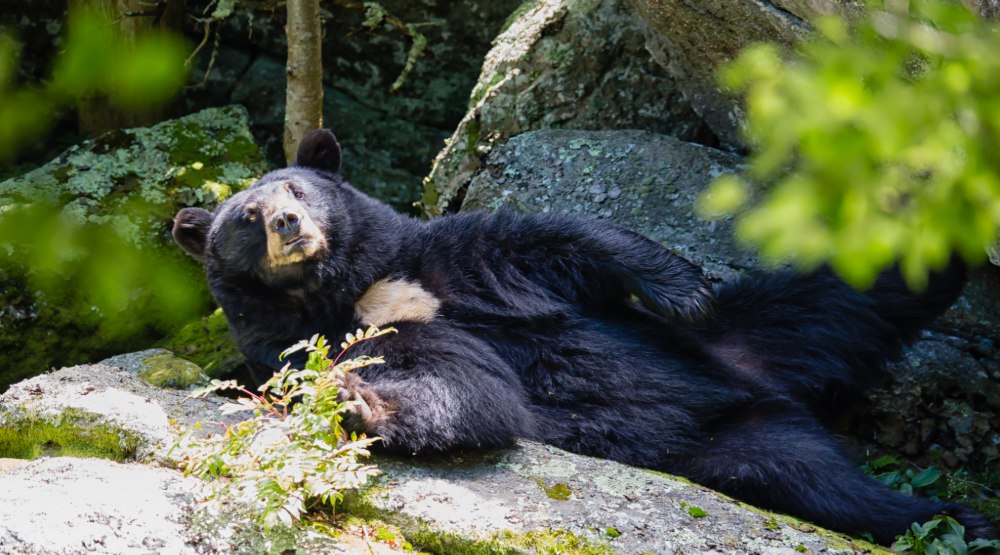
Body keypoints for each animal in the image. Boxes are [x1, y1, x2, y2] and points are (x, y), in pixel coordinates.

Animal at [173, 129, 993, 544]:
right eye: (245, 218)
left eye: (296, 187)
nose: (288, 222)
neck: (359, 286)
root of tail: (759, 386)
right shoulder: (359, 335)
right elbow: (465, 385)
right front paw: (358, 400)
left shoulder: (451, 258)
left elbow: (563, 239)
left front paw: (682, 288)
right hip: (742, 449)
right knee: (826, 481)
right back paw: (956, 516)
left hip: (759, 320)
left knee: (866, 276)